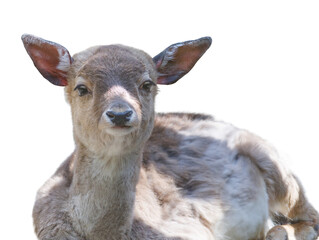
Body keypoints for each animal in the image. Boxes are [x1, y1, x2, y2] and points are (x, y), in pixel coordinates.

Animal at [22, 34, 319, 240]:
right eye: (81, 88)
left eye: (147, 84)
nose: (120, 114)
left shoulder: (188, 228)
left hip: (279, 169)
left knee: (309, 217)